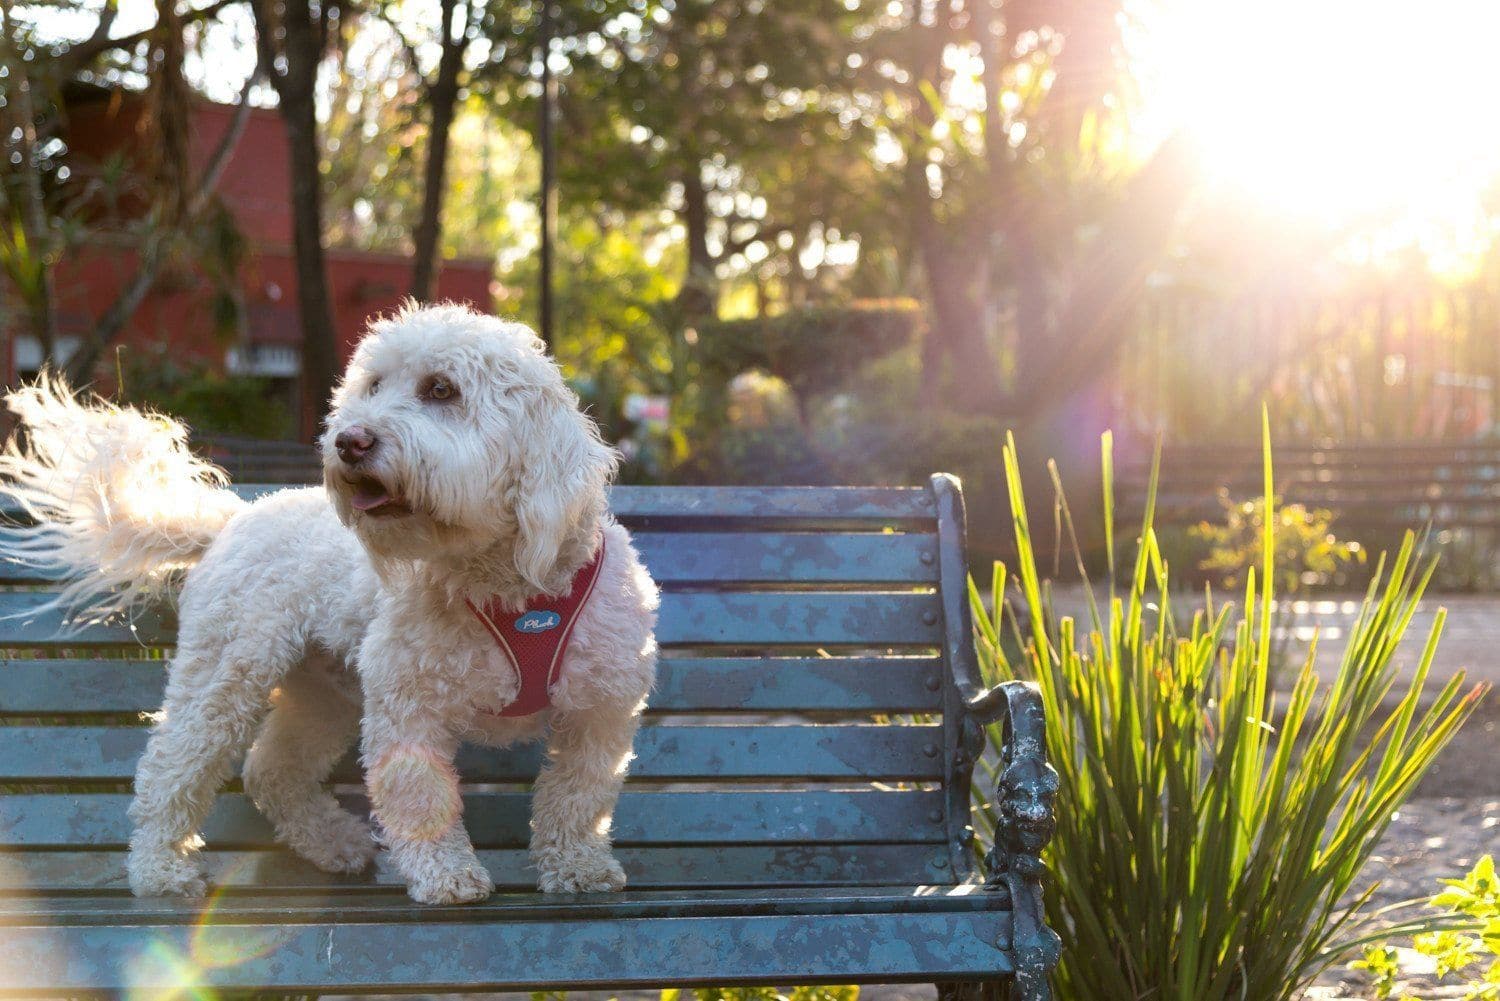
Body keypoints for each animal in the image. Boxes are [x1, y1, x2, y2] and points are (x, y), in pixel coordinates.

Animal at [1, 301, 657, 906]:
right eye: (373, 386)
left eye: (441, 389)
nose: (349, 440)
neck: (506, 585)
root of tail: (237, 515)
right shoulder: (407, 699)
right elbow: (421, 796)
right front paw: (446, 875)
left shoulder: (601, 709)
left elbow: (578, 794)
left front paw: (578, 866)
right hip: (227, 671)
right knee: (172, 763)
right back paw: (161, 869)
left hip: (325, 694)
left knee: (271, 769)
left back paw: (334, 843)